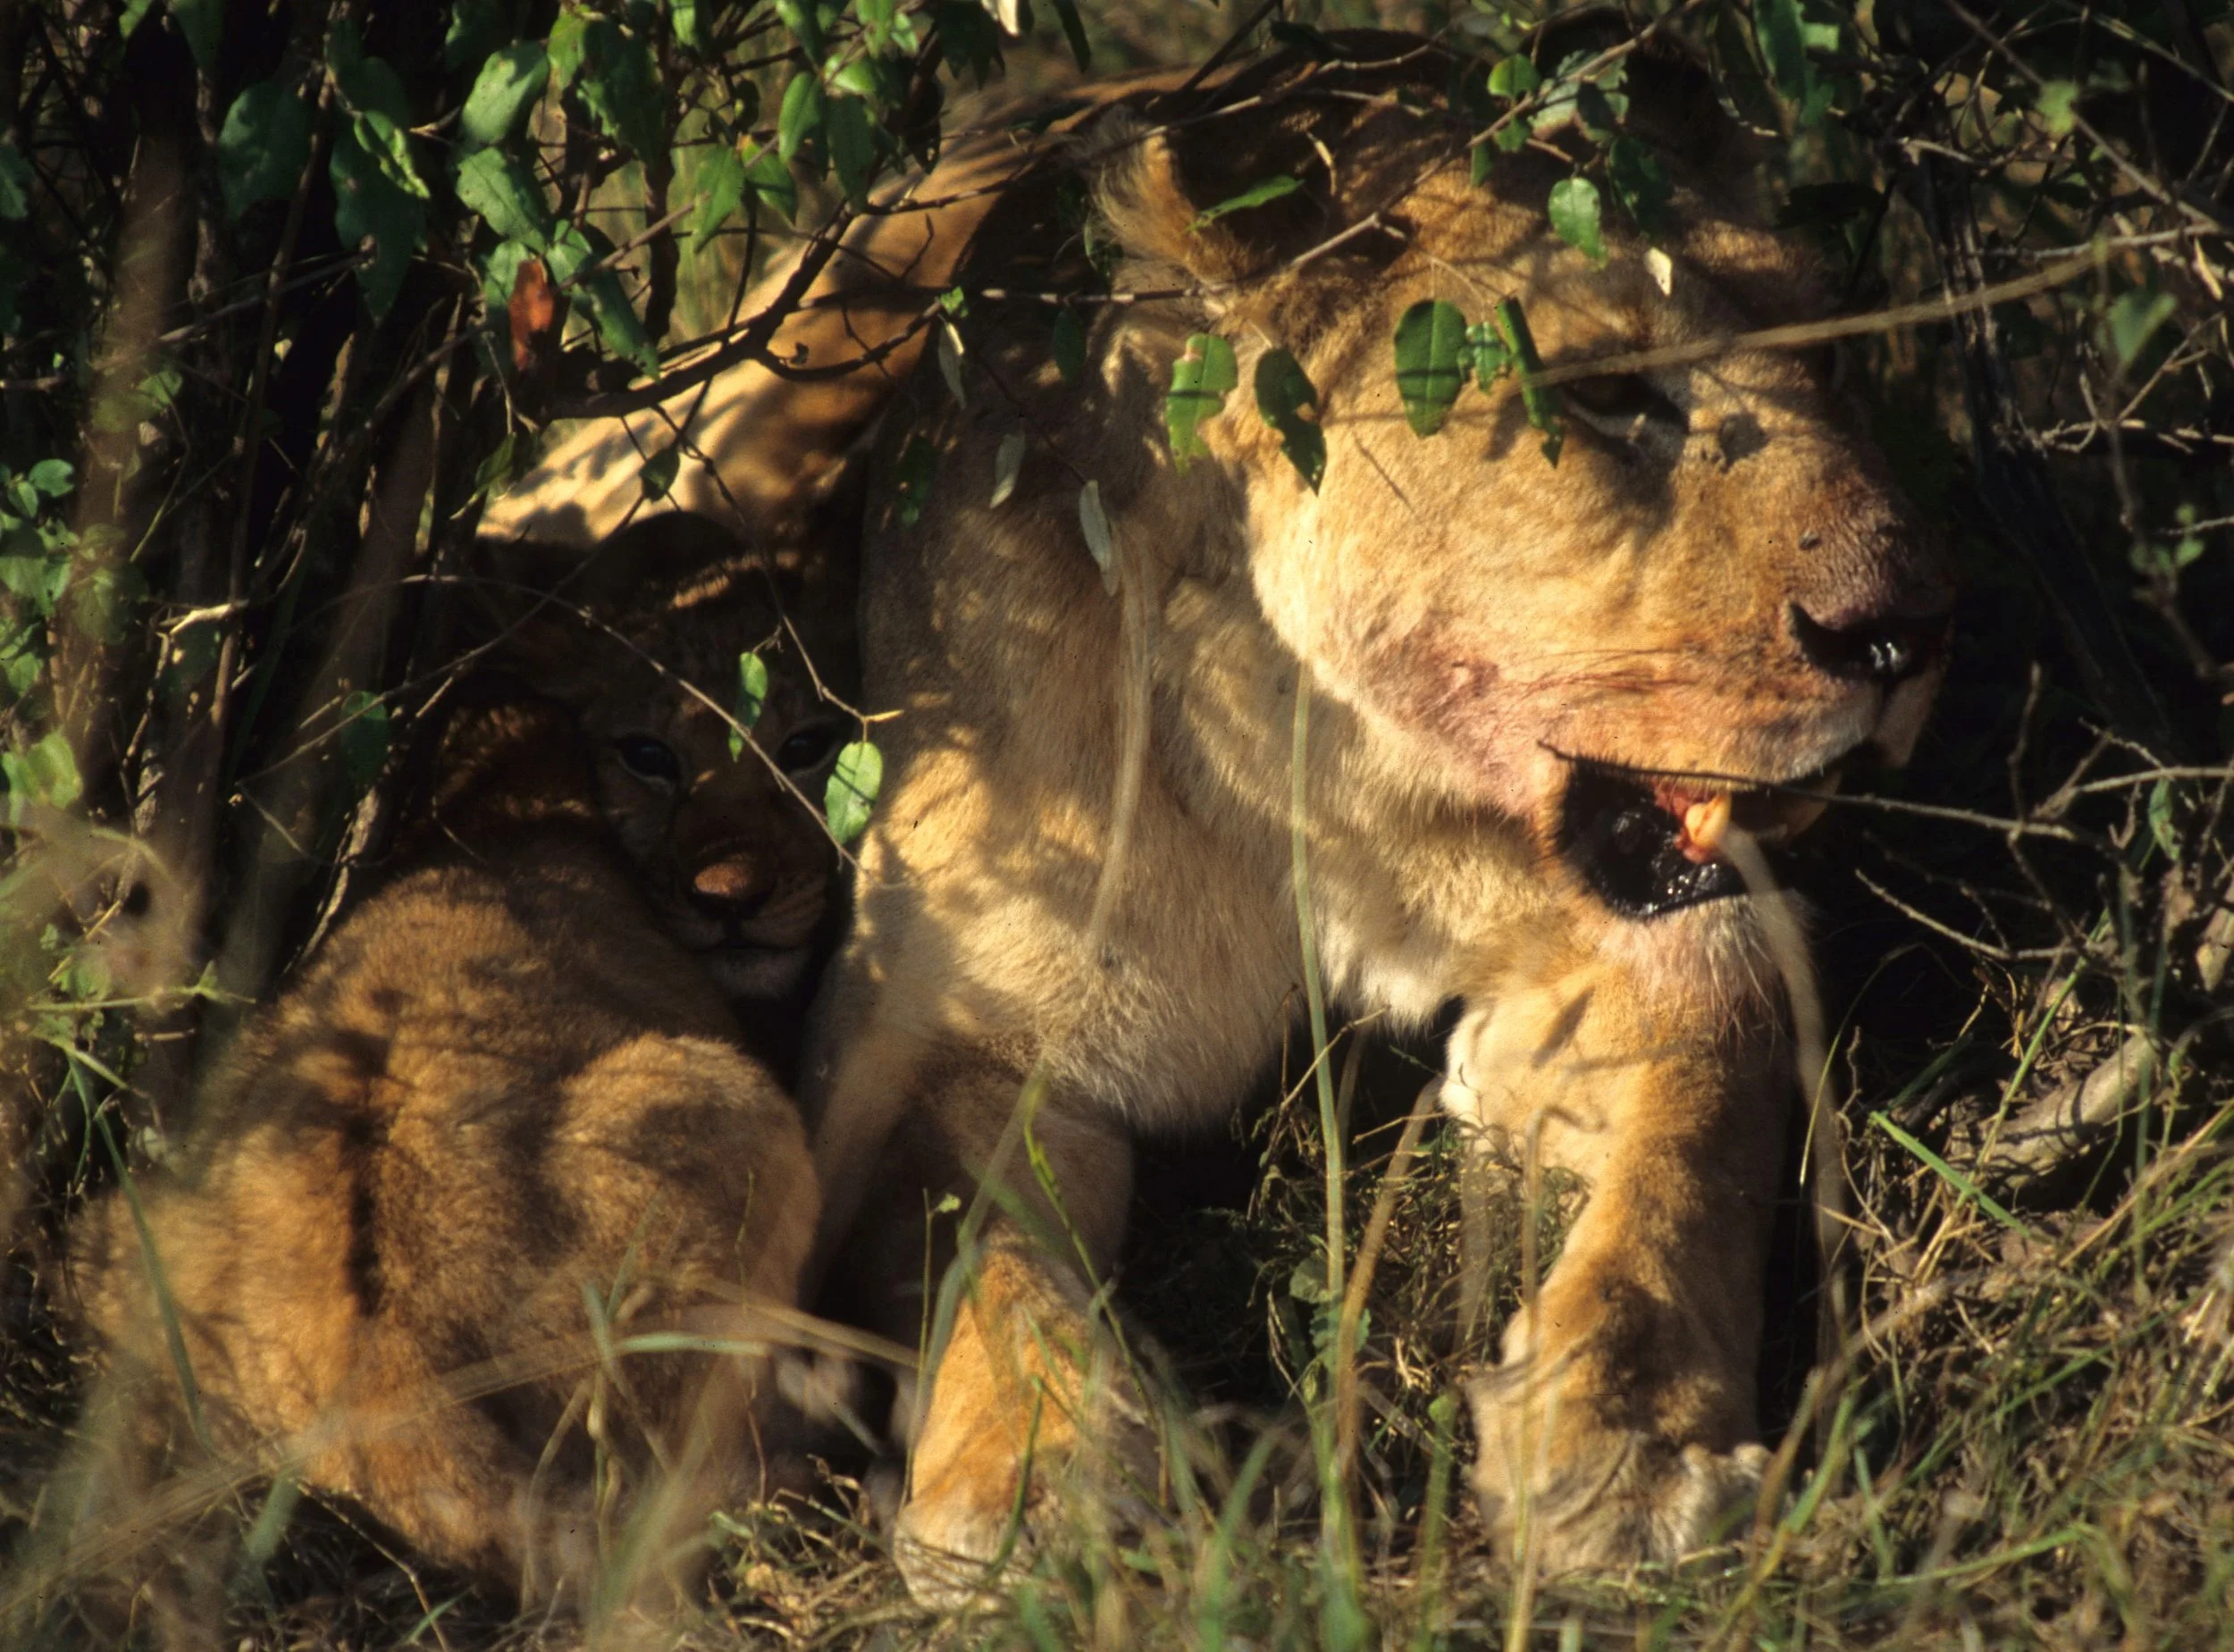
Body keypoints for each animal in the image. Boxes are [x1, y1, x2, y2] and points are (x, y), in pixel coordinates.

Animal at [66, 514, 854, 1620]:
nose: (730, 894)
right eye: (649, 755)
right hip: (727, 1104)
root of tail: (388, 1377)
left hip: (115, 1236)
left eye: (810, 745)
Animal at [789, 28, 1953, 1597]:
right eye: (1603, 396)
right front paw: (1036, 1495)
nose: (1907, 633)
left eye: (1829, 352)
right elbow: (983, 1259)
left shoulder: (1658, 955)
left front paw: (1631, 1436)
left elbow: (1694, 1143)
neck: (1327, 775)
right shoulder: (948, 1032)